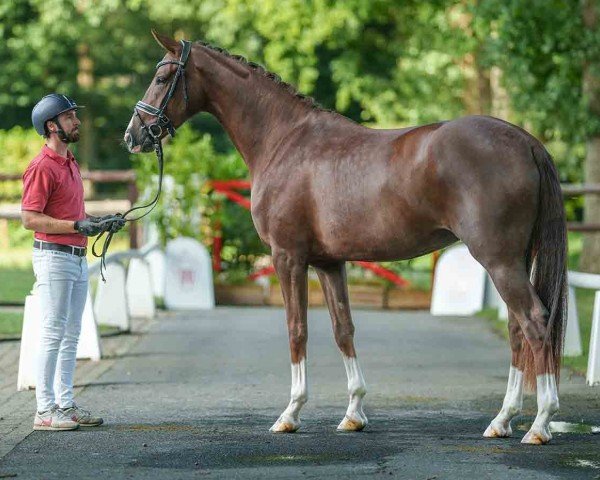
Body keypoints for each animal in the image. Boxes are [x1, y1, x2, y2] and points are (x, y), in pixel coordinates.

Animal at [125, 32, 568, 446]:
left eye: (161, 77)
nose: (133, 135)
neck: (283, 140)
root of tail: (525, 141)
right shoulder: (328, 262)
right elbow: (343, 329)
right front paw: (354, 413)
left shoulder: (288, 257)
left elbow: (297, 328)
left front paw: (290, 413)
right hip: (513, 261)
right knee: (517, 329)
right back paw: (502, 420)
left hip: (499, 260)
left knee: (534, 322)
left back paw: (540, 423)